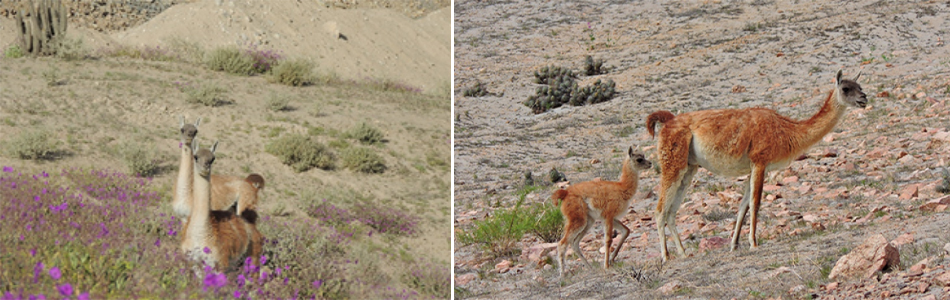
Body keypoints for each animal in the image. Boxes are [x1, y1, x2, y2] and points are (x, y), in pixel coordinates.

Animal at [181, 141, 264, 272]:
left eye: (212, 158)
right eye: (196, 156)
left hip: (253, 256)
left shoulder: (220, 265)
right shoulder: (194, 263)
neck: (201, 234)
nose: (205, 167)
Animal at [552, 148, 656, 278]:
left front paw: (611, 259)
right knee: (562, 243)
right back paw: (563, 275)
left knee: (574, 243)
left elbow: (626, 231)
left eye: (644, 156)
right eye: (639, 159)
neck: (622, 188)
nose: (650, 163)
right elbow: (608, 240)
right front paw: (606, 265)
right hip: (578, 219)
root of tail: (565, 193)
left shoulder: (609, 217)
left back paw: (590, 268)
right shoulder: (609, 215)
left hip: (588, 221)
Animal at [652, 70, 868, 260]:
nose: (864, 98)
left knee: (671, 211)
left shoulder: (751, 168)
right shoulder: (760, 161)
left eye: (860, 86)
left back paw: (682, 253)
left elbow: (743, 206)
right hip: (672, 163)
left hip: (689, 167)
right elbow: (755, 203)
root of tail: (668, 121)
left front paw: (734, 244)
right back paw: (666, 256)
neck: (787, 130)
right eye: (846, 88)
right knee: (660, 209)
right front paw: (754, 243)